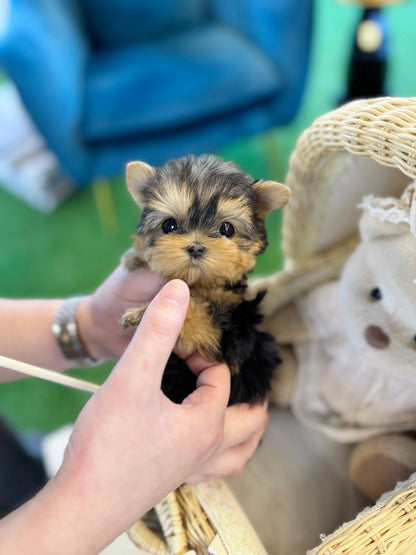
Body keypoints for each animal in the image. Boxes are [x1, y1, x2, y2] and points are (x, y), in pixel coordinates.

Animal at [120, 154, 290, 406]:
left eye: (226, 229)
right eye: (169, 225)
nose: (195, 247)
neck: (201, 283)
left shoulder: (230, 336)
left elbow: (202, 315)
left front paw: (143, 312)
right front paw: (135, 257)